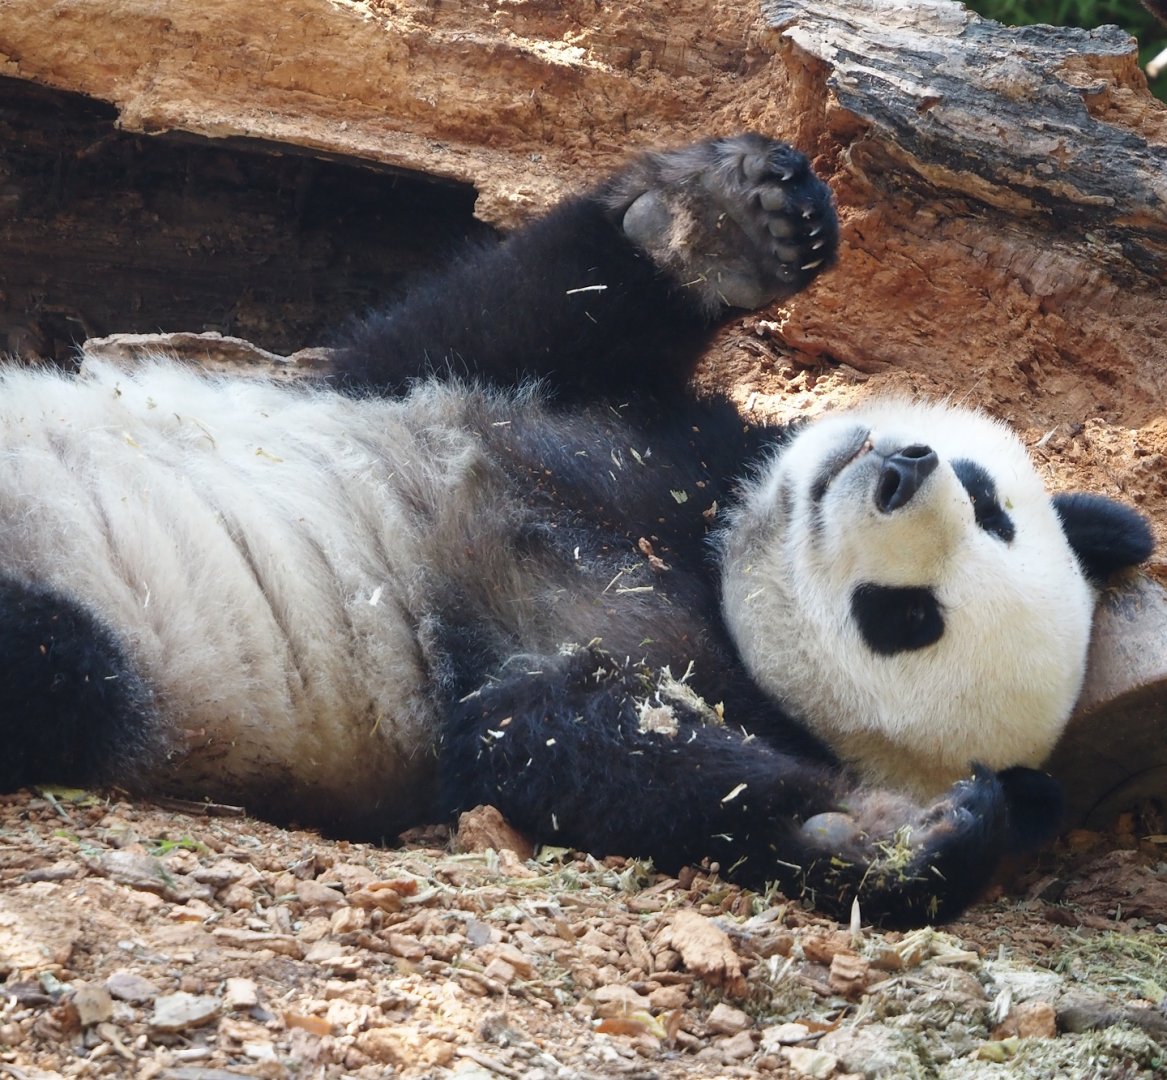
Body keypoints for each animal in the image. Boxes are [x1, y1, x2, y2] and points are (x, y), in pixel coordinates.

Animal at [0, 134, 1152, 928]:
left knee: (61, 665)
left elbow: (556, 739)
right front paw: (725, 222)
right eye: (988, 497)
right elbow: (492, 316)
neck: (702, 551)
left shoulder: (589, 658)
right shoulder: (542, 402)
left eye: (906, 619)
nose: (899, 473)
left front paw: (888, 833)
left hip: (122, 671)